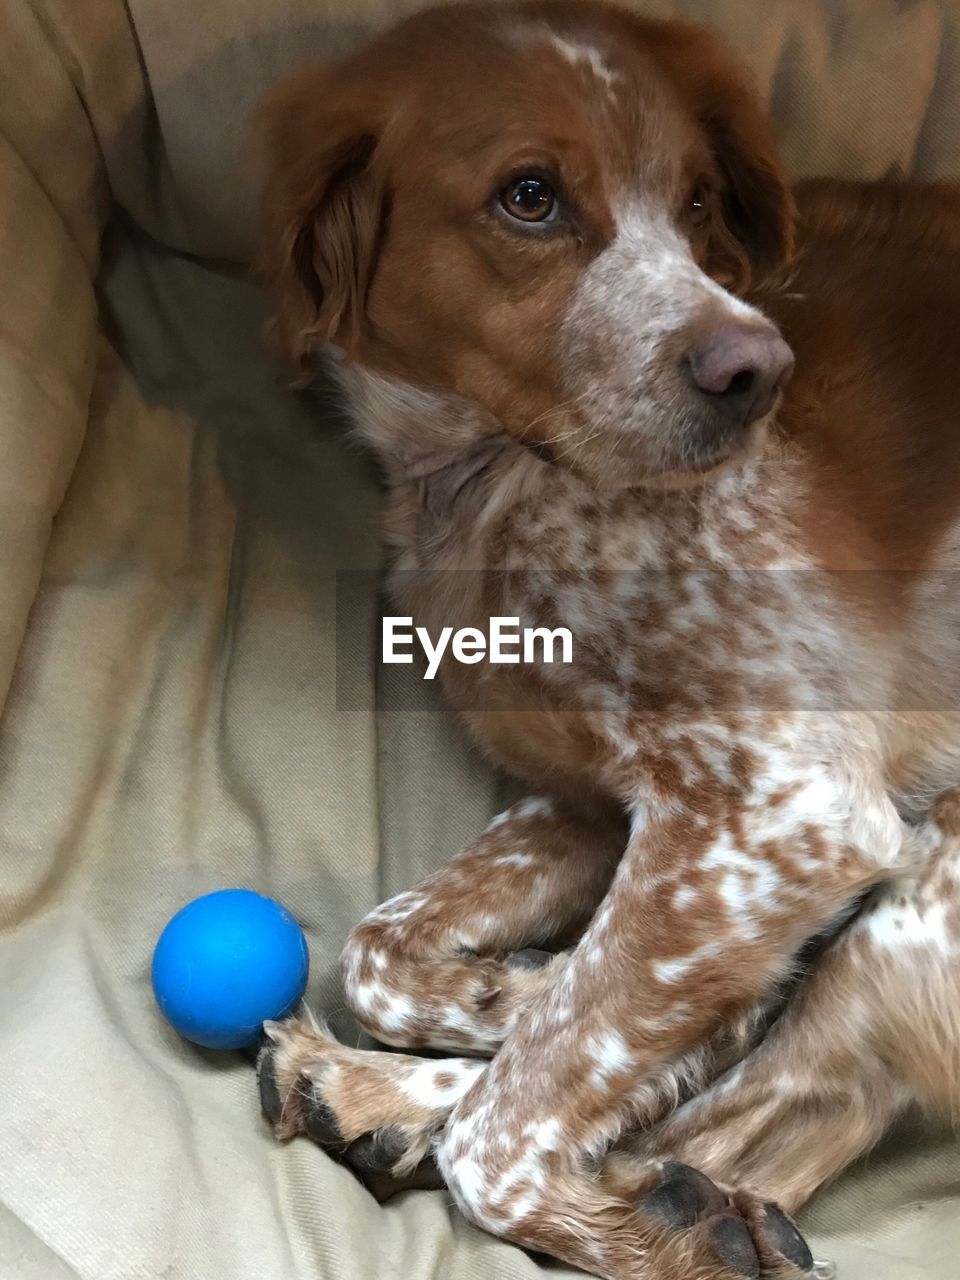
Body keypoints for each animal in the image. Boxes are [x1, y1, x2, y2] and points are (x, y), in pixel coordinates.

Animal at [253, 5, 960, 1274]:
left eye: (696, 202)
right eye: (529, 195)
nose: (758, 372)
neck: (499, 492)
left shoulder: (777, 813)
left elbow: (509, 1129)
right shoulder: (594, 796)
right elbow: (380, 948)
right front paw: (513, 992)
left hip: (937, 891)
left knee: (740, 1125)